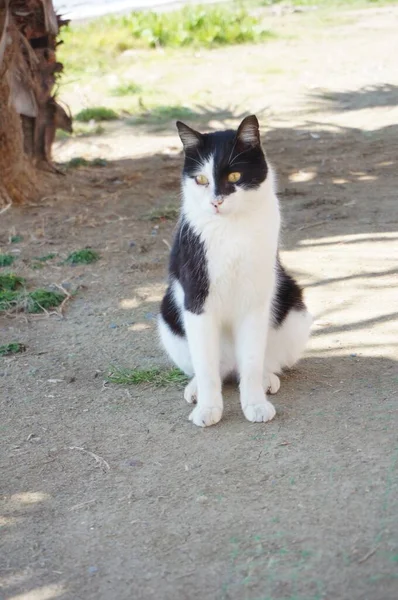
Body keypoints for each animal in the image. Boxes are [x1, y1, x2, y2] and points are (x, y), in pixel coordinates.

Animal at [158, 113, 310, 426]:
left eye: (234, 177)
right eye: (201, 179)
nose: (216, 202)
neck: (230, 229)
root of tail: (229, 369)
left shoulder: (255, 300)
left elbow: (251, 361)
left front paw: (255, 404)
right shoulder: (197, 299)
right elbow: (205, 366)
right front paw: (207, 409)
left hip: (295, 308)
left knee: (257, 362)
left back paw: (265, 379)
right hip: (168, 315)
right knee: (209, 367)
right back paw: (197, 389)